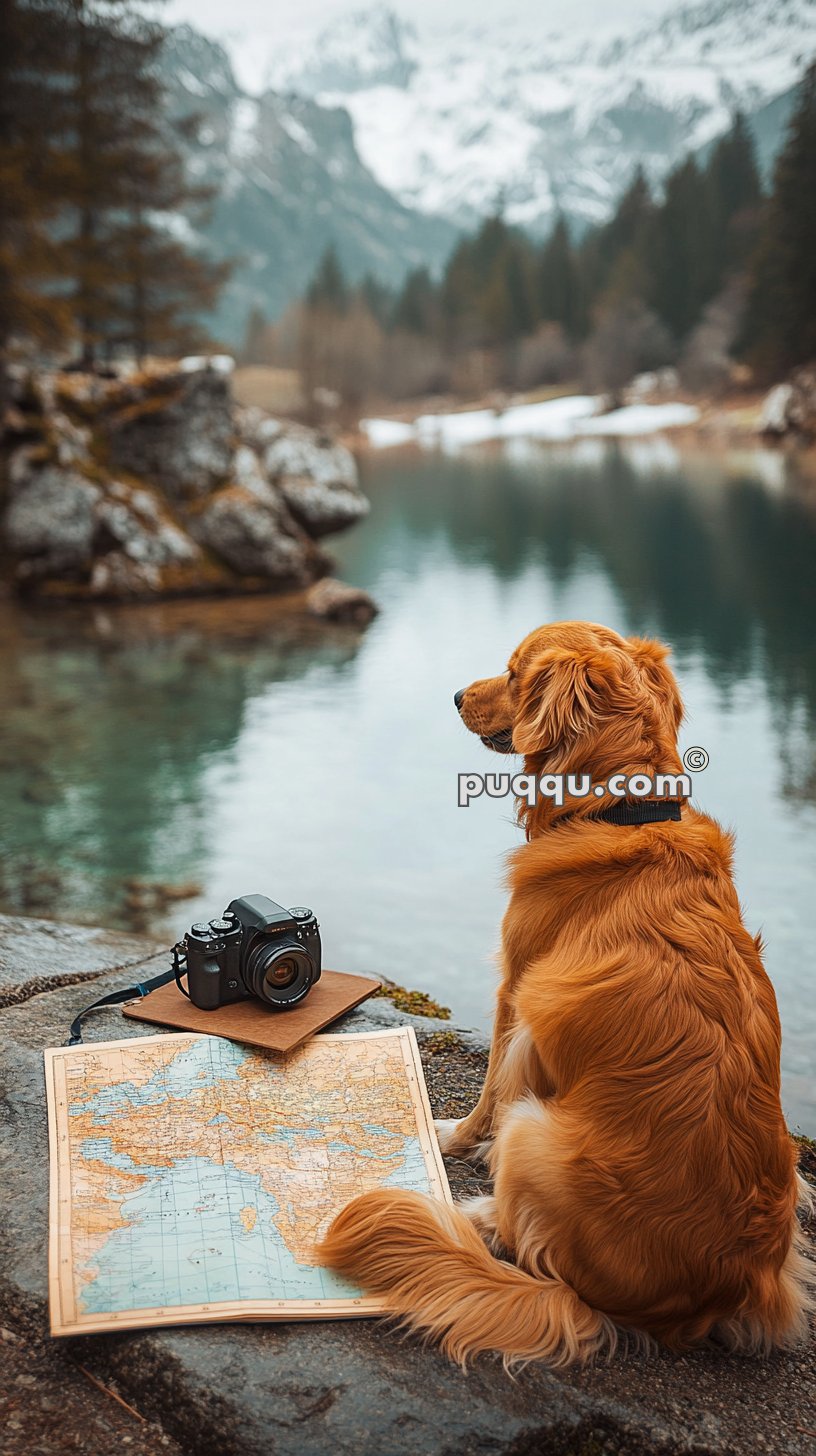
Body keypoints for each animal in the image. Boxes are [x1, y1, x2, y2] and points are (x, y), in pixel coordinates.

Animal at [317, 623, 810, 1362]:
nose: (455, 695)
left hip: (533, 1134)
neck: (624, 811)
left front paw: (452, 1137)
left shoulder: (514, 990)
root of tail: (697, 1302)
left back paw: (479, 1215)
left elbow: (488, 1093)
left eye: (513, 673)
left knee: (521, 1227)